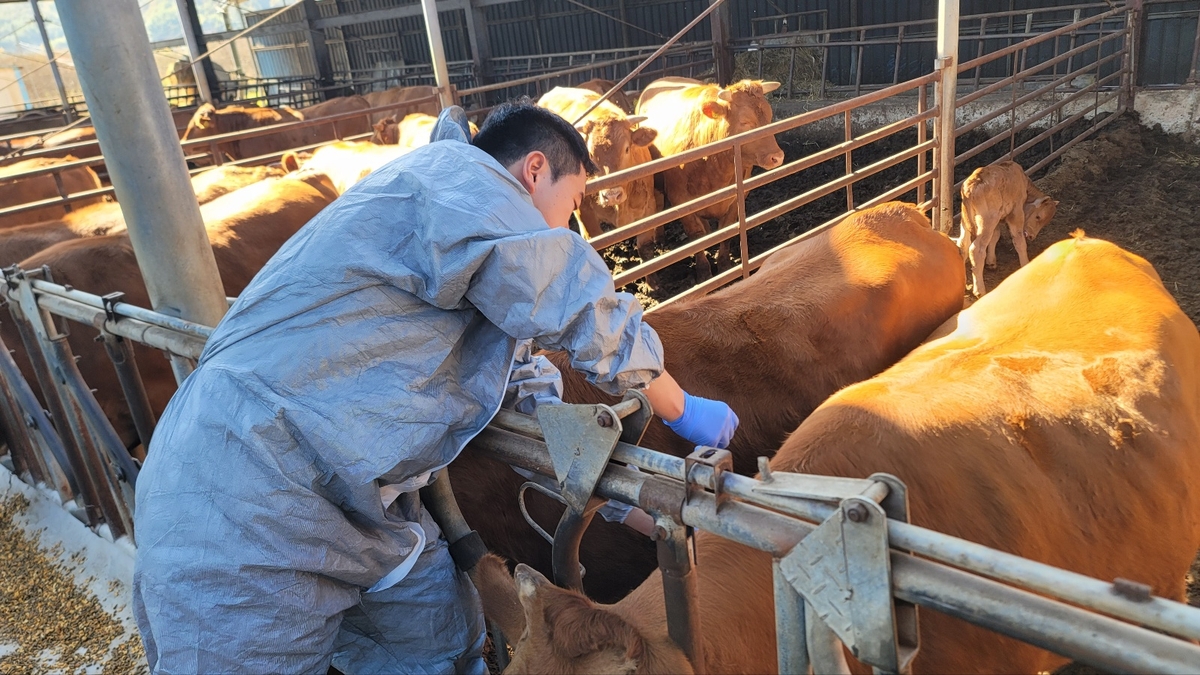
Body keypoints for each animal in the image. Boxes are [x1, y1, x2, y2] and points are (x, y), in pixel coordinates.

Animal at [638, 78, 787, 281]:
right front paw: (704, 272)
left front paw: (724, 266)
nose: (777, 157)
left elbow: (727, 230)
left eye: (770, 117)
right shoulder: (680, 199)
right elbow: (696, 235)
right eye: (745, 122)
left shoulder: (738, 196)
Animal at [960, 158, 1056, 295]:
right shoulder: (1016, 213)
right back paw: (980, 290)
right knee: (976, 249)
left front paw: (991, 262)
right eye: (1038, 217)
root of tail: (971, 186)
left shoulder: (998, 219)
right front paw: (1025, 264)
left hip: (967, 222)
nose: (1031, 236)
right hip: (986, 222)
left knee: (963, 245)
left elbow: (996, 235)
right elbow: (1019, 241)